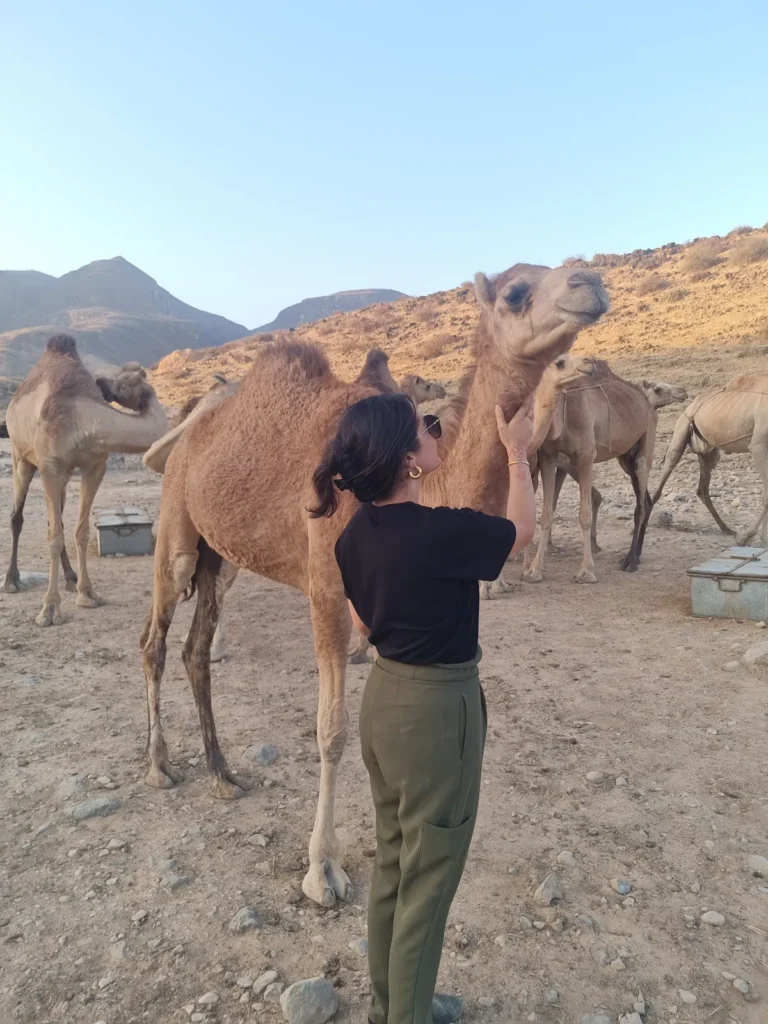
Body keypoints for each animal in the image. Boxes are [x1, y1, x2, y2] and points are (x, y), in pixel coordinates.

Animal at [4, 335, 168, 625]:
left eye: (123, 382)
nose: (102, 382)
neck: (80, 420)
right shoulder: (49, 466)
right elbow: (54, 537)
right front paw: (49, 609)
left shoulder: (94, 466)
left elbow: (79, 531)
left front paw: (88, 594)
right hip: (20, 456)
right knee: (17, 516)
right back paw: (11, 581)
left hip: (65, 475)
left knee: (55, 518)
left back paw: (70, 578)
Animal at [140, 263, 608, 907]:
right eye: (516, 292)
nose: (590, 283)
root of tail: (190, 428)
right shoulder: (325, 589)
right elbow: (332, 731)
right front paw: (322, 871)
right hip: (177, 526)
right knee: (154, 643)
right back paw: (159, 767)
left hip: (218, 553)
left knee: (194, 649)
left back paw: (222, 773)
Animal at [523, 357, 655, 583]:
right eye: (560, 362)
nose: (587, 364)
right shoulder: (548, 459)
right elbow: (546, 515)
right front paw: (534, 571)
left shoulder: (585, 457)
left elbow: (584, 516)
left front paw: (586, 572)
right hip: (626, 457)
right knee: (645, 498)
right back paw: (637, 554)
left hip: (647, 442)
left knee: (641, 501)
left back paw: (630, 561)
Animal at [651, 374, 768, 544]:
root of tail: (690, 405)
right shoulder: (758, 446)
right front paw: (746, 535)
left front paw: (762, 538)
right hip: (682, 427)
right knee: (669, 466)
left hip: (709, 451)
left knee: (702, 488)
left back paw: (726, 528)